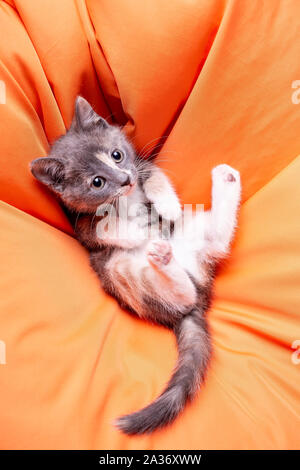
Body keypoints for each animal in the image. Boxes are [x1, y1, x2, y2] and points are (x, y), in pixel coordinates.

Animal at [30, 97, 241, 436]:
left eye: (117, 155)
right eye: (97, 182)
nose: (125, 180)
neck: (125, 199)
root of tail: (201, 296)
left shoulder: (142, 166)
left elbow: (153, 173)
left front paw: (166, 205)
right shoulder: (83, 228)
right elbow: (102, 228)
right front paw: (136, 232)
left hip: (192, 231)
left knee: (217, 240)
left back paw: (225, 181)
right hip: (126, 278)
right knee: (181, 293)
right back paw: (163, 259)